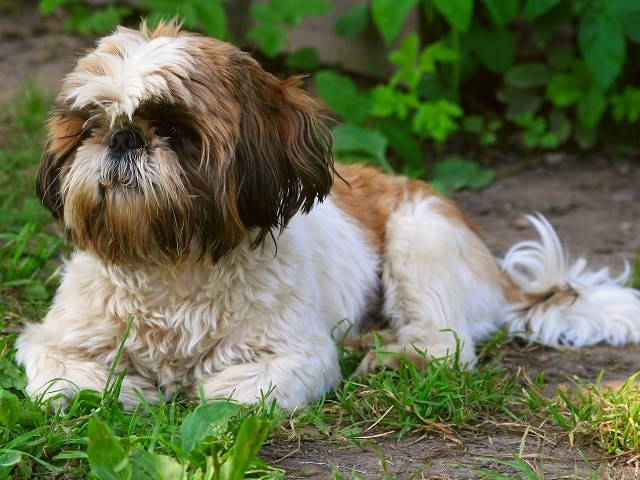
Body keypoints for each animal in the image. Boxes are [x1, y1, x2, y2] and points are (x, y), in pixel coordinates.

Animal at [13, 21, 640, 408]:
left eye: (173, 129)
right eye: (90, 126)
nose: (123, 138)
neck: (170, 262)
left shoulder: (297, 354)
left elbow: (233, 395)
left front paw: (188, 391)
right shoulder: (54, 338)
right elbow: (59, 378)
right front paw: (124, 388)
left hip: (420, 231)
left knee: (450, 346)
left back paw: (389, 356)